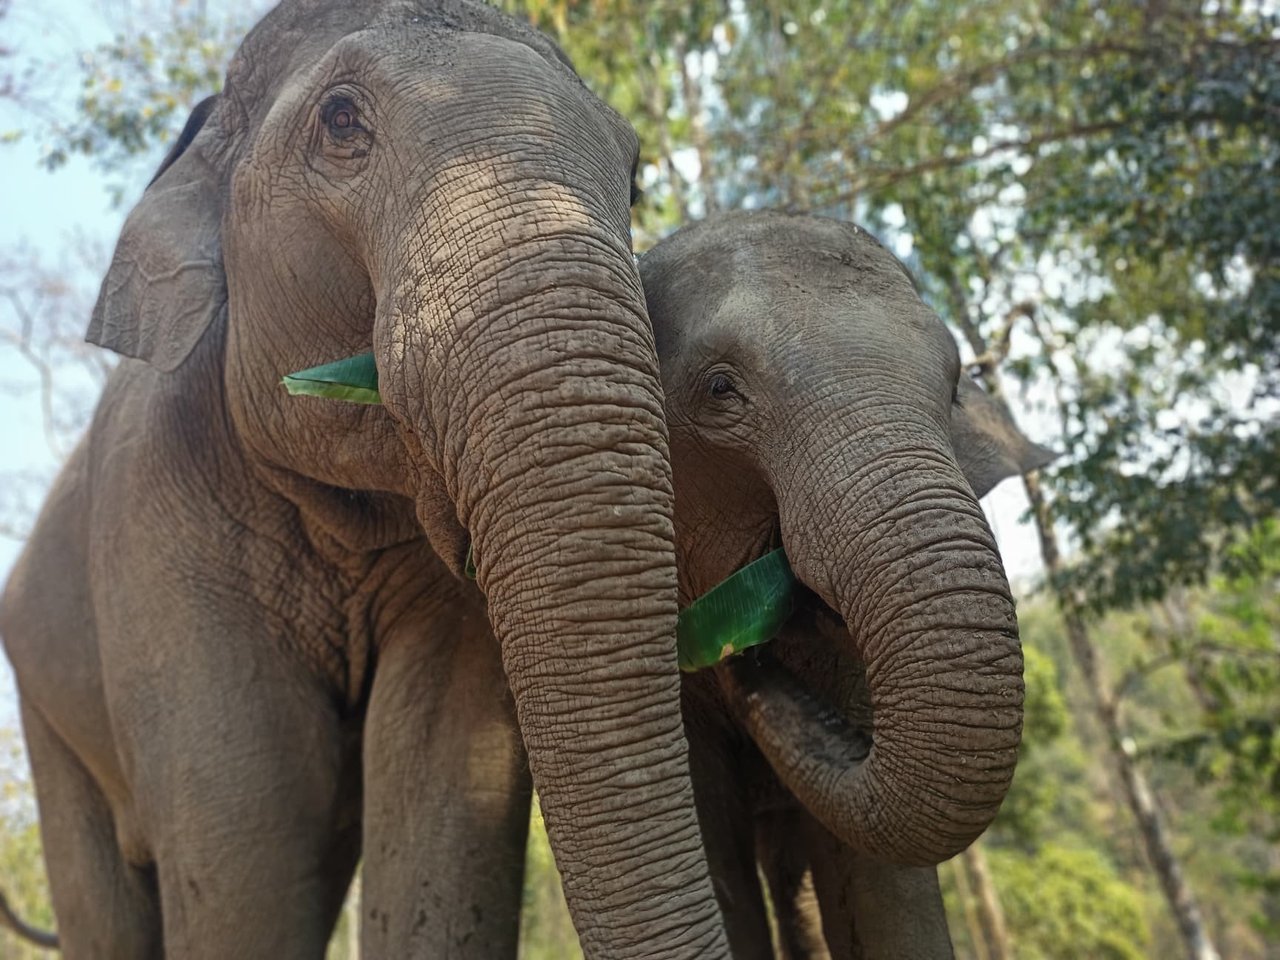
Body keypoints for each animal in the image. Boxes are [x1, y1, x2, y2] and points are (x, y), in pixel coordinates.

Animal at [0, 1, 732, 960]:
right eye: (341, 120)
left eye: (637, 179)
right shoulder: (153, 517)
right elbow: (247, 846)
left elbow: (441, 808)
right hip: (43, 696)